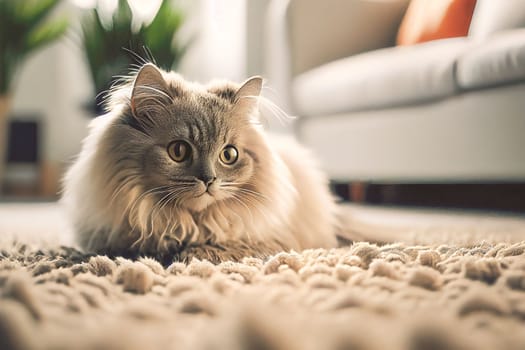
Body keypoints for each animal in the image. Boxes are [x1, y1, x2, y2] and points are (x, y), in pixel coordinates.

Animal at [61, 63, 340, 262]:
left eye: (229, 155)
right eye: (178, 151)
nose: (208, 179)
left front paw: (189, 255)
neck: (183, 225)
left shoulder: (272, 239)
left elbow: (221, 246)